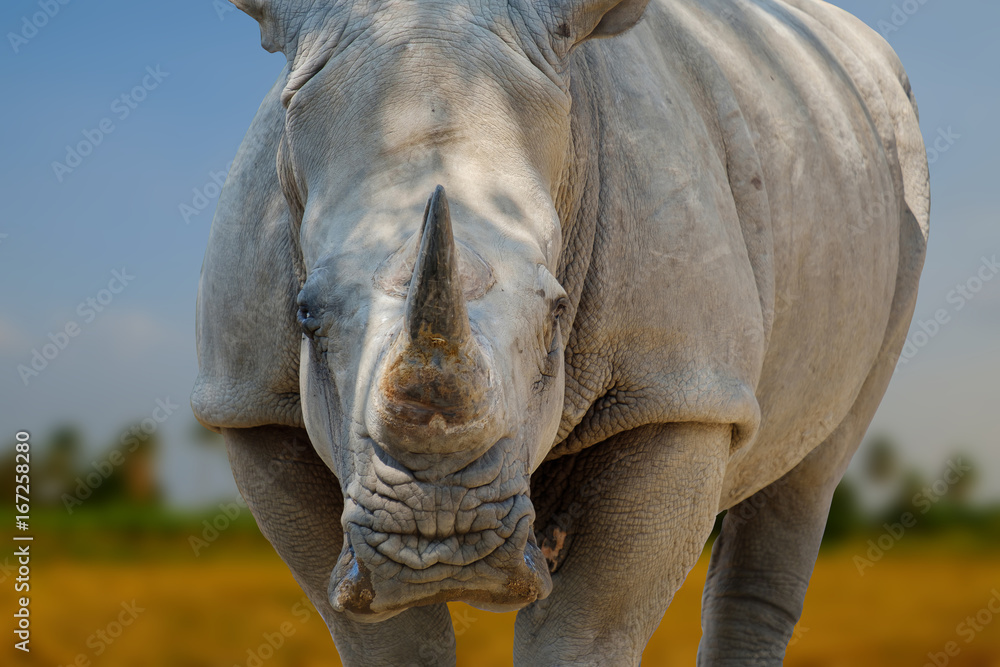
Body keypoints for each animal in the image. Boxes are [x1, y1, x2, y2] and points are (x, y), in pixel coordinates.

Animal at [192, 0, 929, 663]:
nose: (442, 540)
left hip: (895, 165)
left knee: (813, 467)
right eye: (305, 314)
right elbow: (386, 638)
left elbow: (587, 629)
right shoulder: (252, 403)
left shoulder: (678, 389)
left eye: (556, 308)